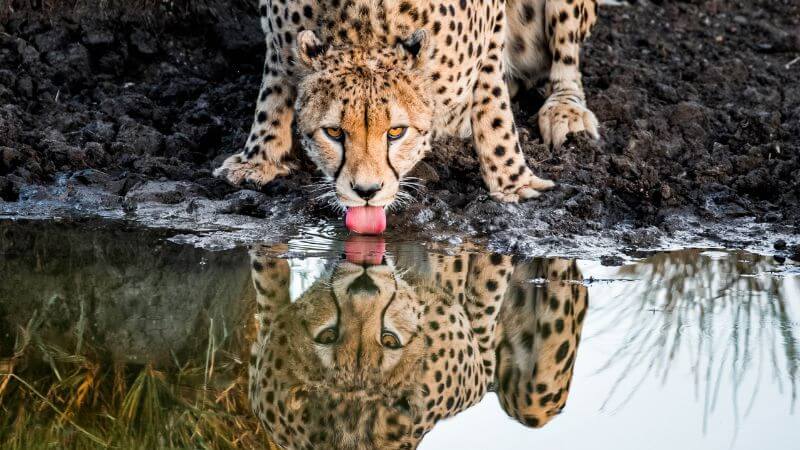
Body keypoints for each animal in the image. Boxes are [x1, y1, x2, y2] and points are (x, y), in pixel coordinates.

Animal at [216, 0, 596, 209]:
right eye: (334, 132)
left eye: (396, 132)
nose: (367, 192)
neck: (364, 24)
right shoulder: (280, 38)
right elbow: (273, 89)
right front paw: (259, 158)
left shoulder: (491, 30)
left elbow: (493, 107)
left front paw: (513, 181)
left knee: (566, 58)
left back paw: (566, 109)